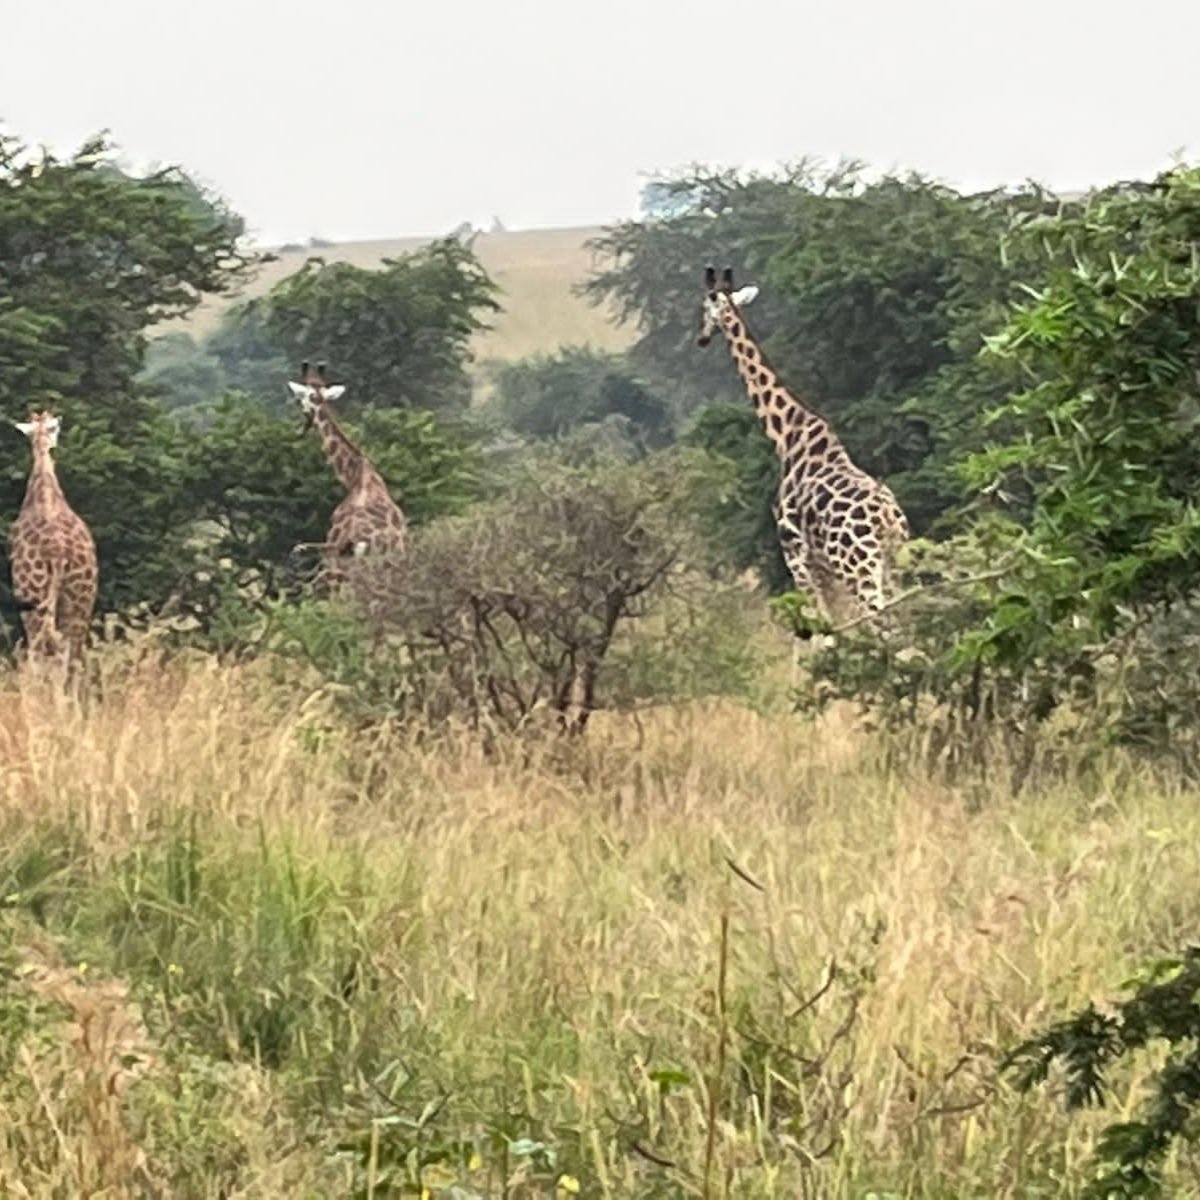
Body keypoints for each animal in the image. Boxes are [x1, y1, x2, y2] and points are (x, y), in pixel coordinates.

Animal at [8, 412, 99, 676]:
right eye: (55, 428)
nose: (55, 443)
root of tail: (58, 552)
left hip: (38, 600)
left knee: (42, 653)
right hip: (79, 600)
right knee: (69, 654)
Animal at [696, 268, 907, 628]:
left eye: (704, 309)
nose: (702, 339)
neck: (786, 436)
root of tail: (885, 518)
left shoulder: (797, 560)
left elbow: (827, 631)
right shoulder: (822, 568)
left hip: (858, 566)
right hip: (897, 563)